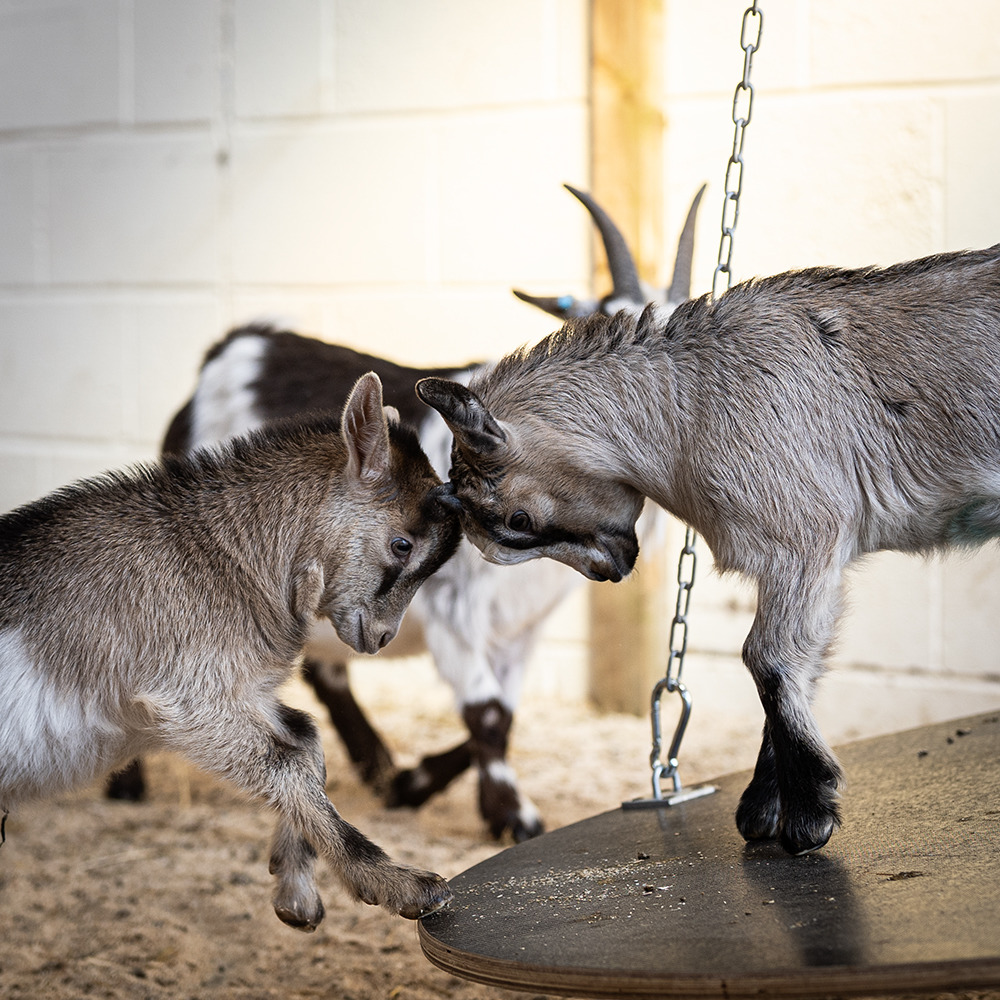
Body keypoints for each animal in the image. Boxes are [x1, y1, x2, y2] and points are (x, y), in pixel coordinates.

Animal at [1, 373, 461, 929]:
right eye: (402, 545)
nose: (382, 636)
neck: (223, 557)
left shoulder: (244, 690)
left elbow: (306, 740)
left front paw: (295, 891)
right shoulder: (188, 698)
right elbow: (288, 762)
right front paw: (402, 885)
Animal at [107, 184, 705, 843]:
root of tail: (230, 350)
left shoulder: (520, 625)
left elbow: (506, 712)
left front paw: (414, 785)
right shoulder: (453, 609)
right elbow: (487, 714)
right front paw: (514, 816)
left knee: (326, 668)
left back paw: (377, 766)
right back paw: (126, 784)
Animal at [416, 244, 1000, 856]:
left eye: (518, 519)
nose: (609, 570)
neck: (688, 405)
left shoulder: (804, 540)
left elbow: (768, 659)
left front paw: (807, 815)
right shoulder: (805, 562)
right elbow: (796, 661)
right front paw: (766, 809)